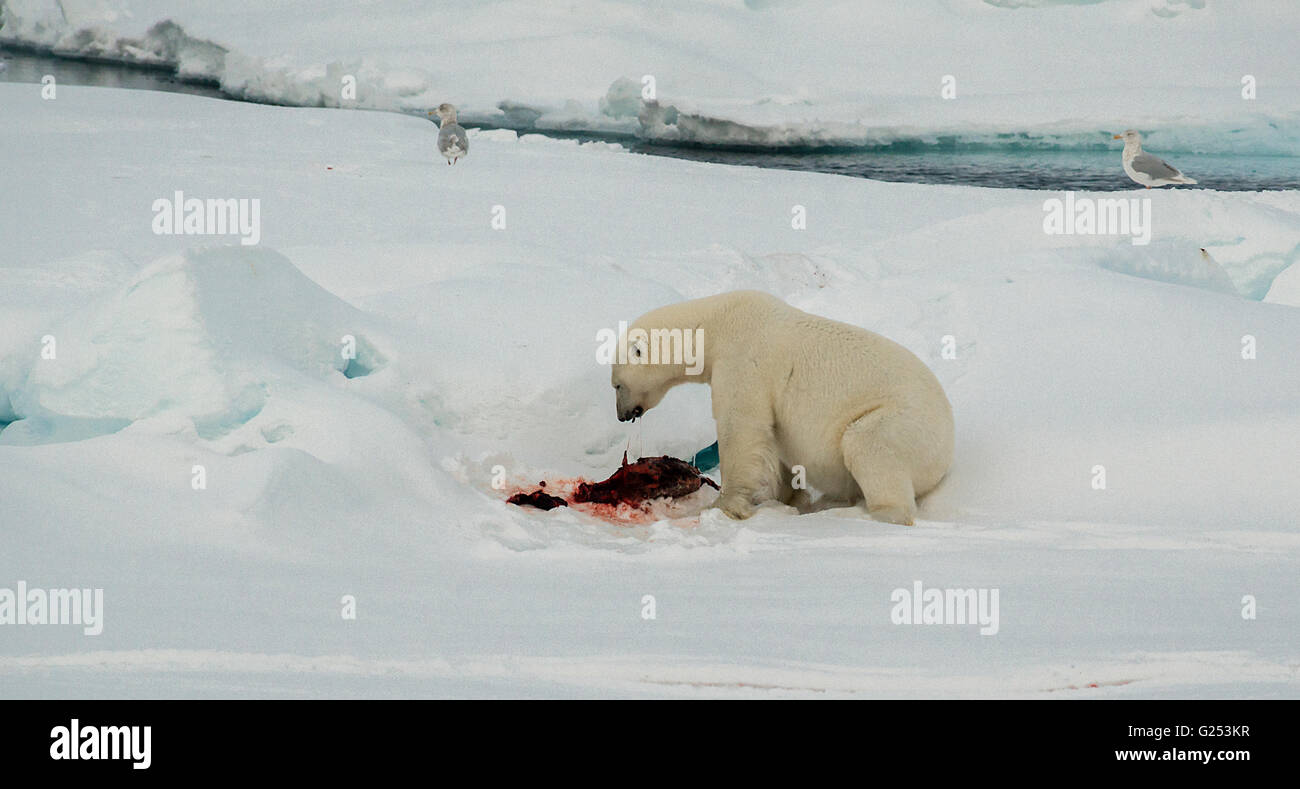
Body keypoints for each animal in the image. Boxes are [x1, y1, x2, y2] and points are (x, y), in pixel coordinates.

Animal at [608, 289, 956, 525]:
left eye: (616, 385)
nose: (622, 416)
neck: (714, 325)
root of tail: (947, 450)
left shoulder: (743, 359)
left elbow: (741, 427)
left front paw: (724, 505)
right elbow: (774, 438)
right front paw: (782, 498)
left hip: (904, 423)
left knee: (869, 445)